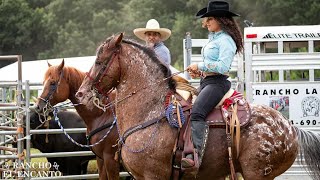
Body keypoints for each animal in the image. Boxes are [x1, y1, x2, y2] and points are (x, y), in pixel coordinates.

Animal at [75, 33, 320, 179]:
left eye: (99, 61)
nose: (81, 93)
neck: (149, 111)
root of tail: (289, 127)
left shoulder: (153, 175)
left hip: (257, 173)